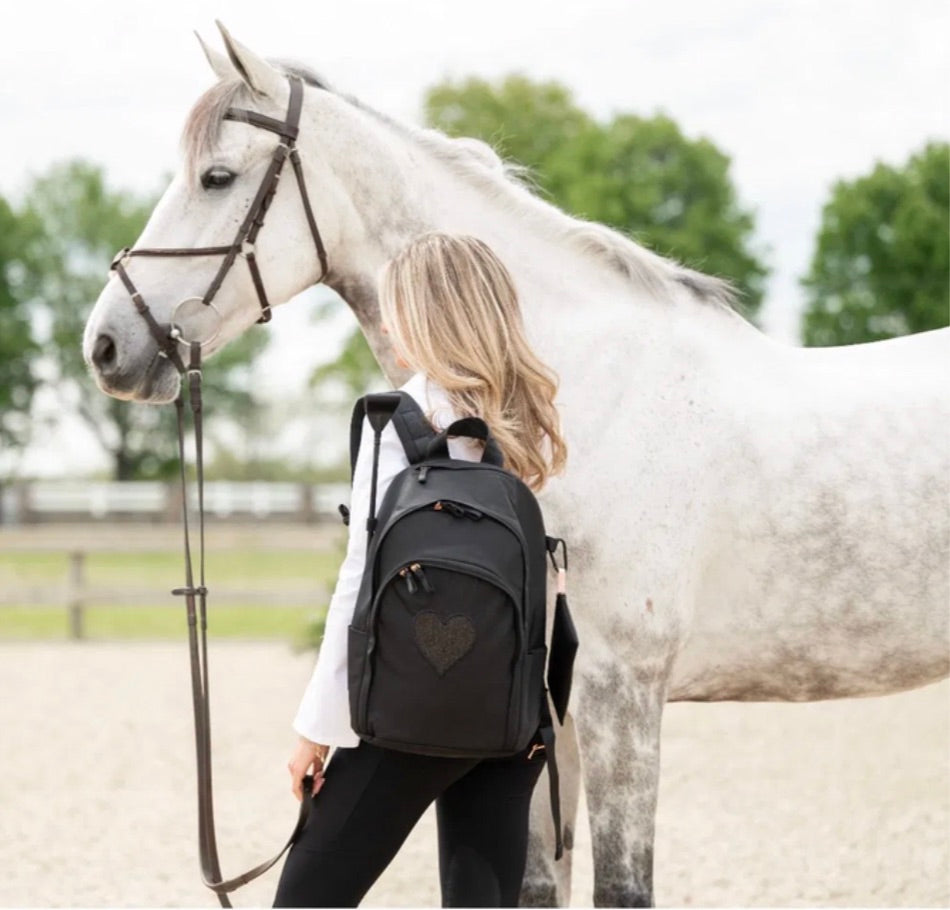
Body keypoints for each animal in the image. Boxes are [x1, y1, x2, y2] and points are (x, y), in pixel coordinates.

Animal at [82, 23, 950, 907]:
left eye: (217, 177)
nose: (107, 345)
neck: (575, 395)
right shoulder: (543, 719)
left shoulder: (620, 699)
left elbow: (622, 886)